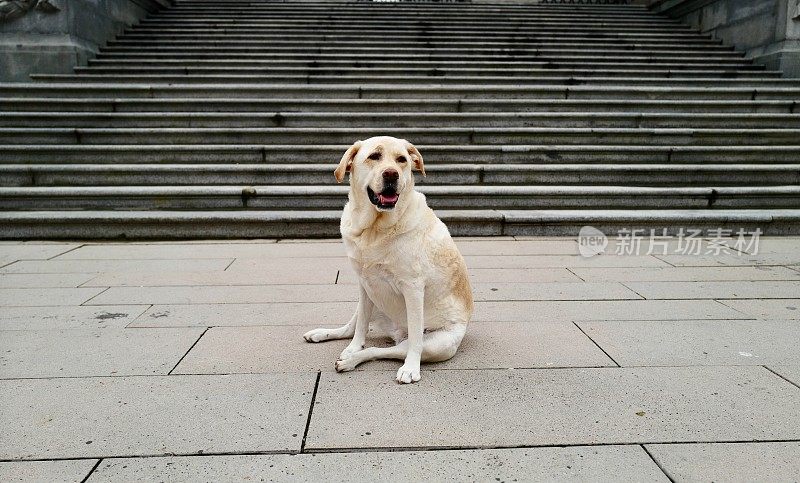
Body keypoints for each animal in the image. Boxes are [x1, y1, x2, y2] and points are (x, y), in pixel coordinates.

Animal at [304, 136, 472, 386]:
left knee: (387, 349)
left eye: (402, 160)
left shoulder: (413, 288)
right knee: (351, 328)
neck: (374, 229)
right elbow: (360, 327)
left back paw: (353, 360)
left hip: (436, 344)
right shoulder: (364, 284)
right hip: (374, 300)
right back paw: (327, 337)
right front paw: (353, 347)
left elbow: (414, 339)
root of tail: (395, 332)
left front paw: (411, 368)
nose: (392, 174)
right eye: (374, 156)